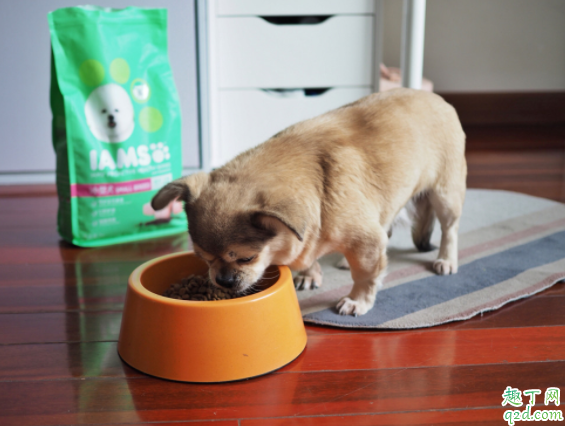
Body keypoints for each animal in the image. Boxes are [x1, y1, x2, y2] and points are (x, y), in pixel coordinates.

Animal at [152, 89, 464, 316]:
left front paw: (358, 301)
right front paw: (309, 274)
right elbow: (309, 252)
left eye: (247, 258)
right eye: (202, 257)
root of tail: (434, 96)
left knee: (449, 230)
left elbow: (366, 274)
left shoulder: (366, 241)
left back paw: (446, 260)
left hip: (445, 196)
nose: (223, 280)